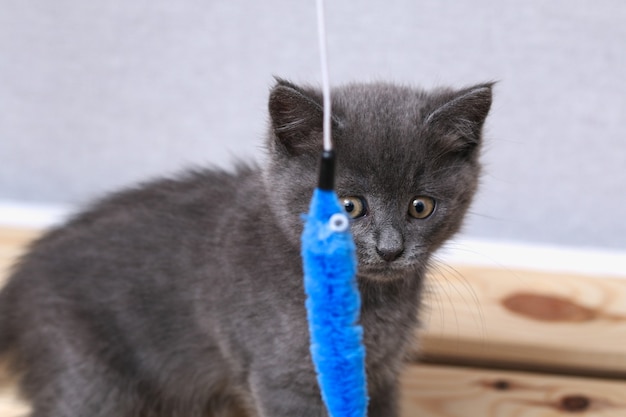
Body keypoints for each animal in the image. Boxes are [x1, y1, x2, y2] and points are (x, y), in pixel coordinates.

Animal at [0, 79, 492, 416]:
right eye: (349, 206)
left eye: (420, 206)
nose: (390, 249)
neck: (370, 303)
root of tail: (19, 283)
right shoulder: (282, 379)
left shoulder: (381, 373)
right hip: (89, 374)